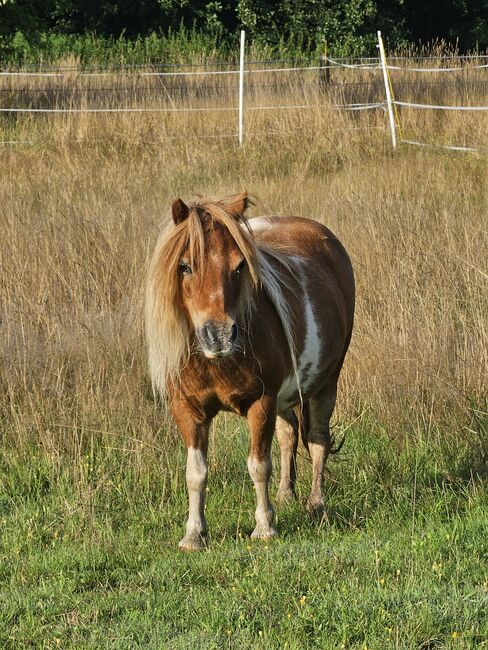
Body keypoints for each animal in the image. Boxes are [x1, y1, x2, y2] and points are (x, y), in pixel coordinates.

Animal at [145, 192, 354, 548]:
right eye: (185, 266)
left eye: (240, 266)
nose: (219, 335)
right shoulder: (187, 409)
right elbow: (195, 472)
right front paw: (194, 534)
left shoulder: (262, 402)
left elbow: (258, 465)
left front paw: (264, 527)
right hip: (287, 396)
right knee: (288, 434)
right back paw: (286, 495)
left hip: (326, 382)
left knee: (317, 440)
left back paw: (316, 504)